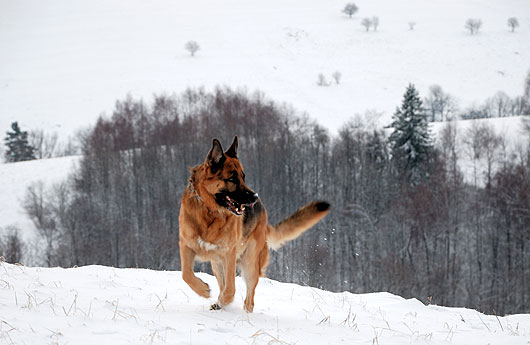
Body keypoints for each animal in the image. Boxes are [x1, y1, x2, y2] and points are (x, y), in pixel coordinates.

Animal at [178, 136, 326, 310]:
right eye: (232, 179)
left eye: (243, 177)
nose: (255, 197)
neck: (209, 211)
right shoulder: (186, 245)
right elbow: (186, 274)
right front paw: (203, 290)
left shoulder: (229, 253)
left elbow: (230, 289)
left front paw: (222, 300)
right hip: (217, 264)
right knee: (222, 284)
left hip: (250, 264)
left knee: (249, 299)